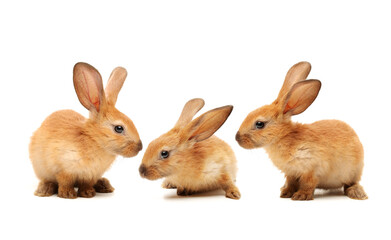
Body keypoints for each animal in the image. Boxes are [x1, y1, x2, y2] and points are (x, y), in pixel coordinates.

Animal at [29, 62, 142, 199]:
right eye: (119, 128)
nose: (140, 147)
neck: (94, 140)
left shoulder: (90, 175)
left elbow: (86, 184)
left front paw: (88, 193)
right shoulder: (64, 169)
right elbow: (65, 182)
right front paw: (67, 194)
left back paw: (104, 185)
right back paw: (44, 190)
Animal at [236, 62, 368, 201]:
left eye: (259, 124)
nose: (237, 137)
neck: (283, 137)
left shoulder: (311, 169)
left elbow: (308, 184)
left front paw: (301, 196)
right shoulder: (291, 173)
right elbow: (291, 183)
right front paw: (285, 193)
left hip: (354, 171)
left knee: (352, 183)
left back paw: (357, 193)